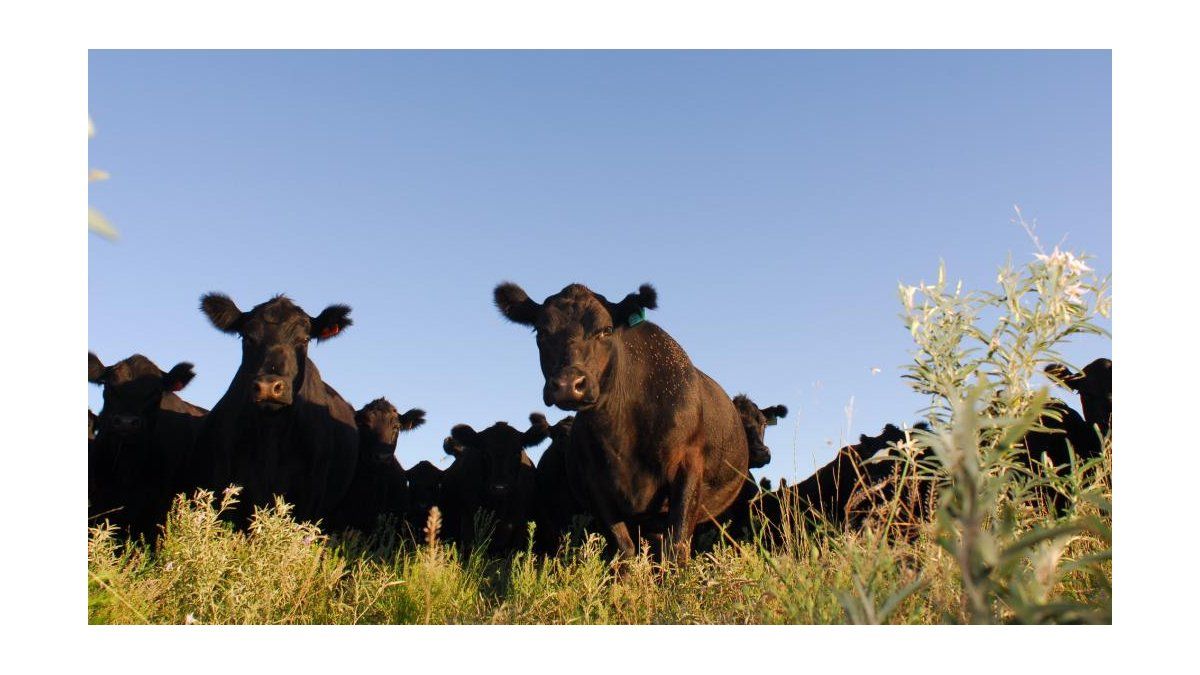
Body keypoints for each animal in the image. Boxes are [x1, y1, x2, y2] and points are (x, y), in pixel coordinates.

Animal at [493, 282, 749, 563]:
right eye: (540, 332)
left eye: (605, 330)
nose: (569, 385)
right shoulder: (596, 486)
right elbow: (625, 550)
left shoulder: (688, 466)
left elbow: (677, 545)